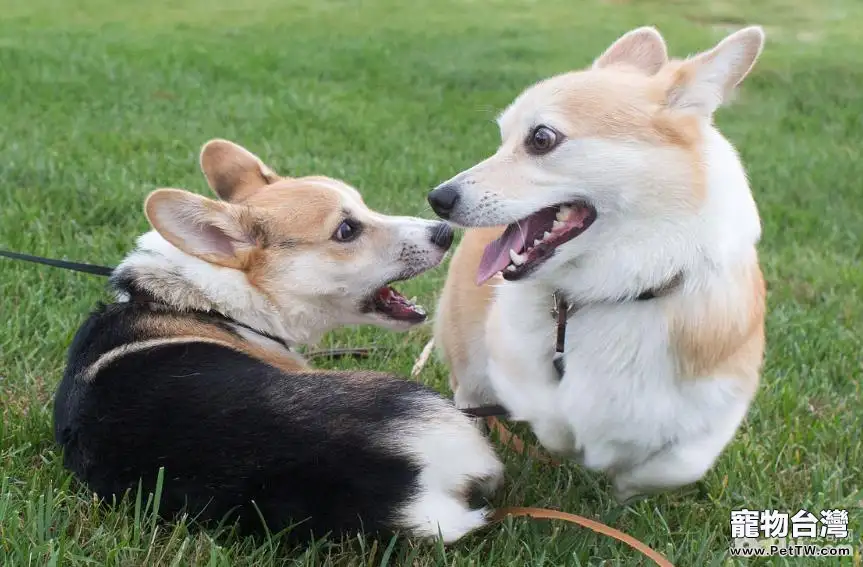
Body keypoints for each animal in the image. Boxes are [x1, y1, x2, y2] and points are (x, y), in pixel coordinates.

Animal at [428, 28, 768, 504]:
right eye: (502, 138)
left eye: (541, 138)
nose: (438, 198)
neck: (623, 289)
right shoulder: (511, 355)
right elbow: (554, 416)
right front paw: (578, 443)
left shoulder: (715, 407)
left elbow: (677, 465)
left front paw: (624, 485)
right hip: (469, 357)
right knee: (468, 399)